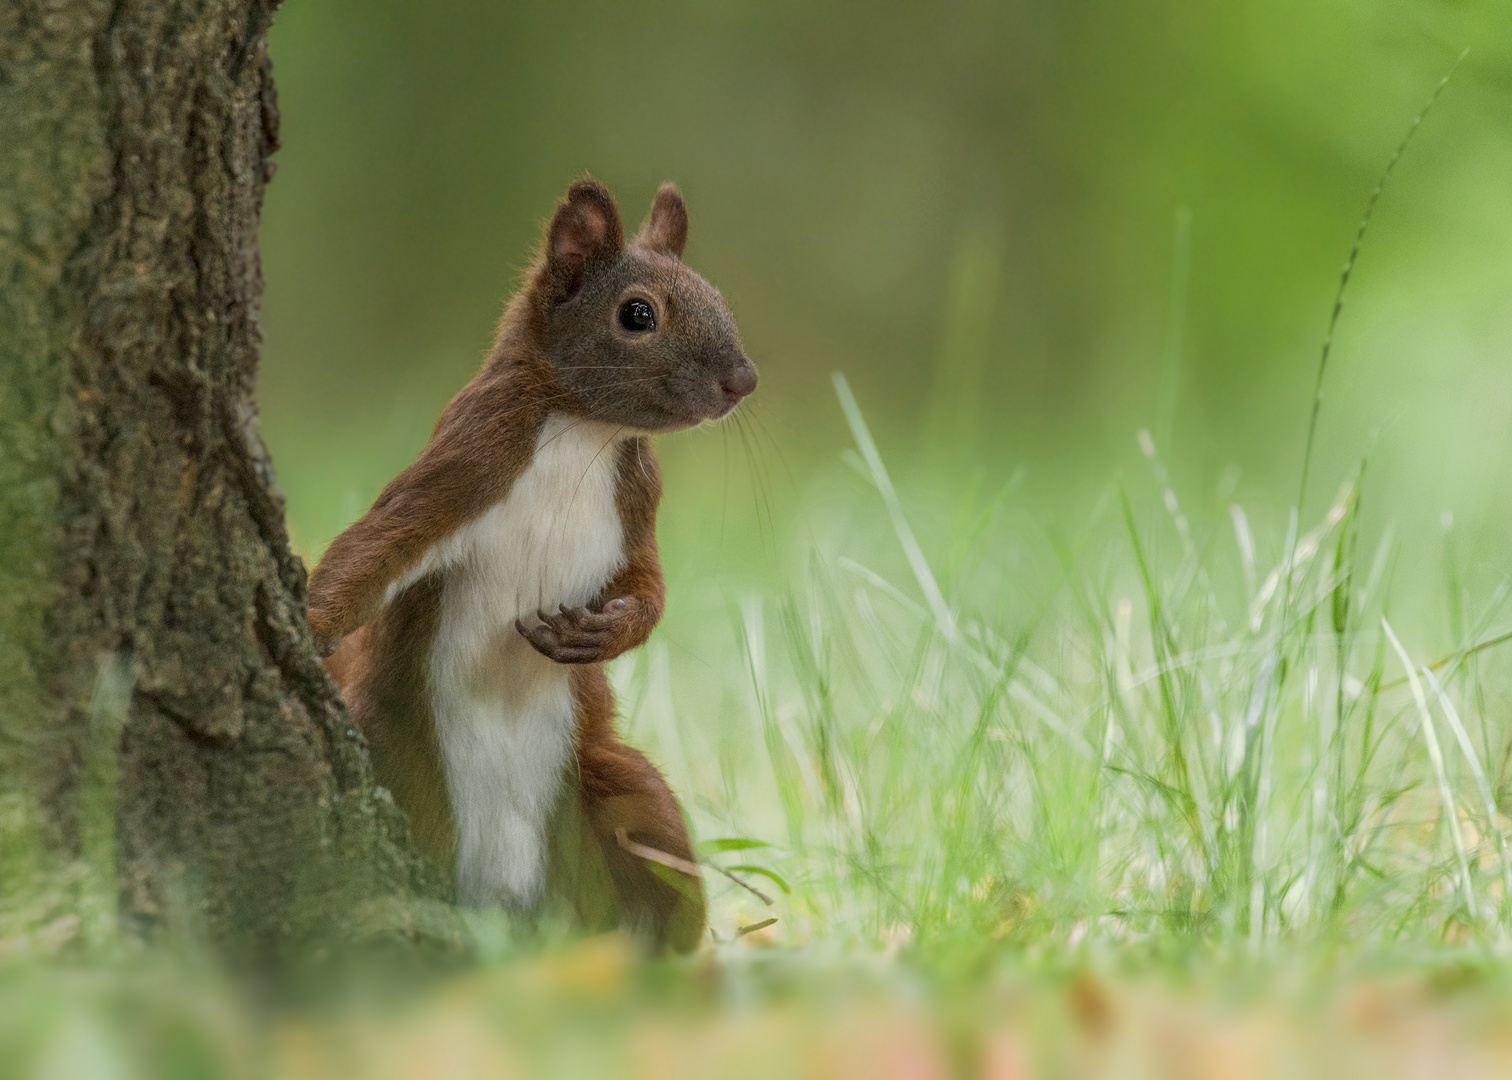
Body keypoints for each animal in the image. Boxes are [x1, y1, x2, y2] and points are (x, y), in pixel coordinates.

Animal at [306, 180, 756, 943]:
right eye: (637, 314)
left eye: (718, 295)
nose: (744, 380)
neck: (584, 432)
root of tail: (510, 904)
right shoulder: (462, 466)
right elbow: (371, 551)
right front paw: (309, 623)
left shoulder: (637, 508)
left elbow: (649, 586)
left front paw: (606, 630)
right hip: (394, 759)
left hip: (622, 792)